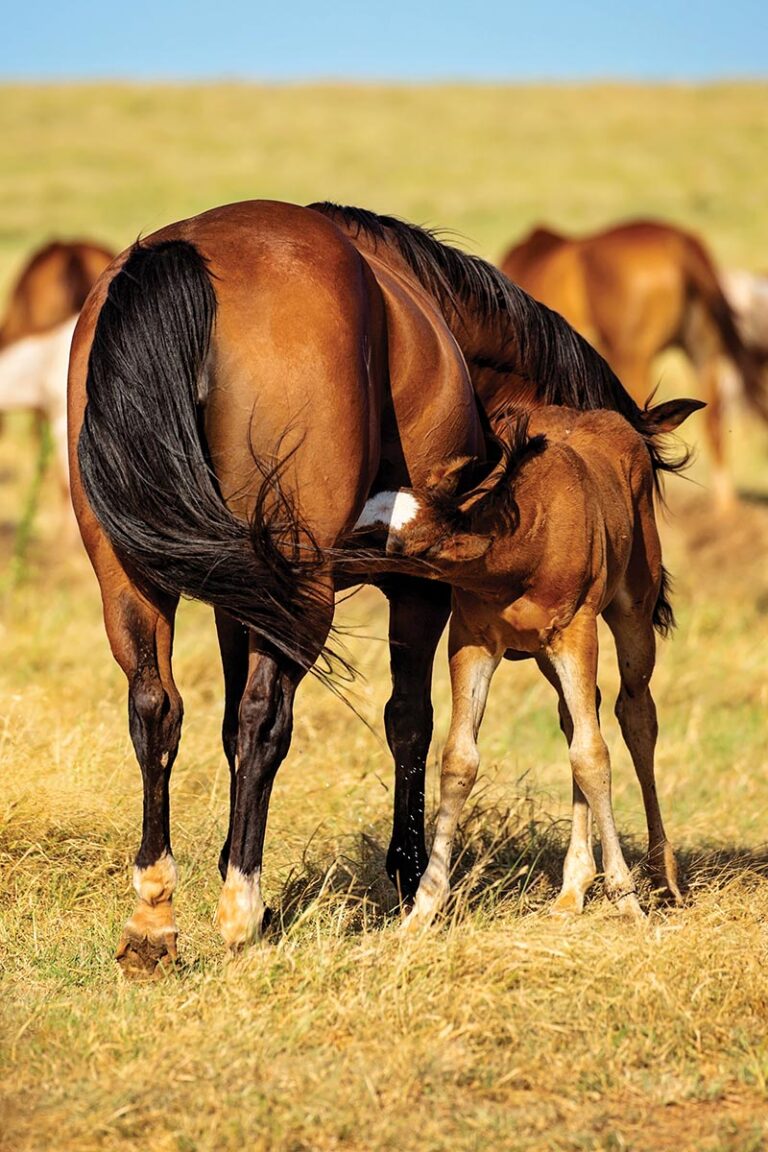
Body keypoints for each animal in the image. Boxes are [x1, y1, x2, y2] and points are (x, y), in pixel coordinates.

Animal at [354, 398, 703, 929]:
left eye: (379, 534)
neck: (527, 540)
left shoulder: (576, 632)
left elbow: (593, 756)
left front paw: (625, 895)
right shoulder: (473, 640)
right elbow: (460, 757)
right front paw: (424, 907)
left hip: (631, 614)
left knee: (635, 714)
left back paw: (663, 877)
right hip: (543, 655)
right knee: (577, 716)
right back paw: (573, 887)